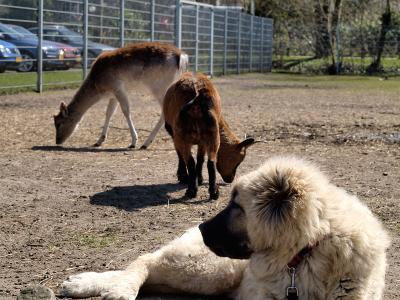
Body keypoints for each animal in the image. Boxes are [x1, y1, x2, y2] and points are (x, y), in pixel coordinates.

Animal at [53, 41, 189, 149]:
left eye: (59, 123)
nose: (57, 141)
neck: (98, 87)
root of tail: (181, 56)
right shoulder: (113, 94)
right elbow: (109, 113)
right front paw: (99, 141)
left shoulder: (117, 87)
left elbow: (126, 110)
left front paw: (133, 141)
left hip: (159, 87)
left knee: (165, 112)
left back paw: (145, 143)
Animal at [61, 157, 390, 300]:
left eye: (237, 206)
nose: (202, 228)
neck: (307, 251)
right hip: (213, 269)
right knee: (145, 262)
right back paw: (117, 289)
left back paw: (84, 284)